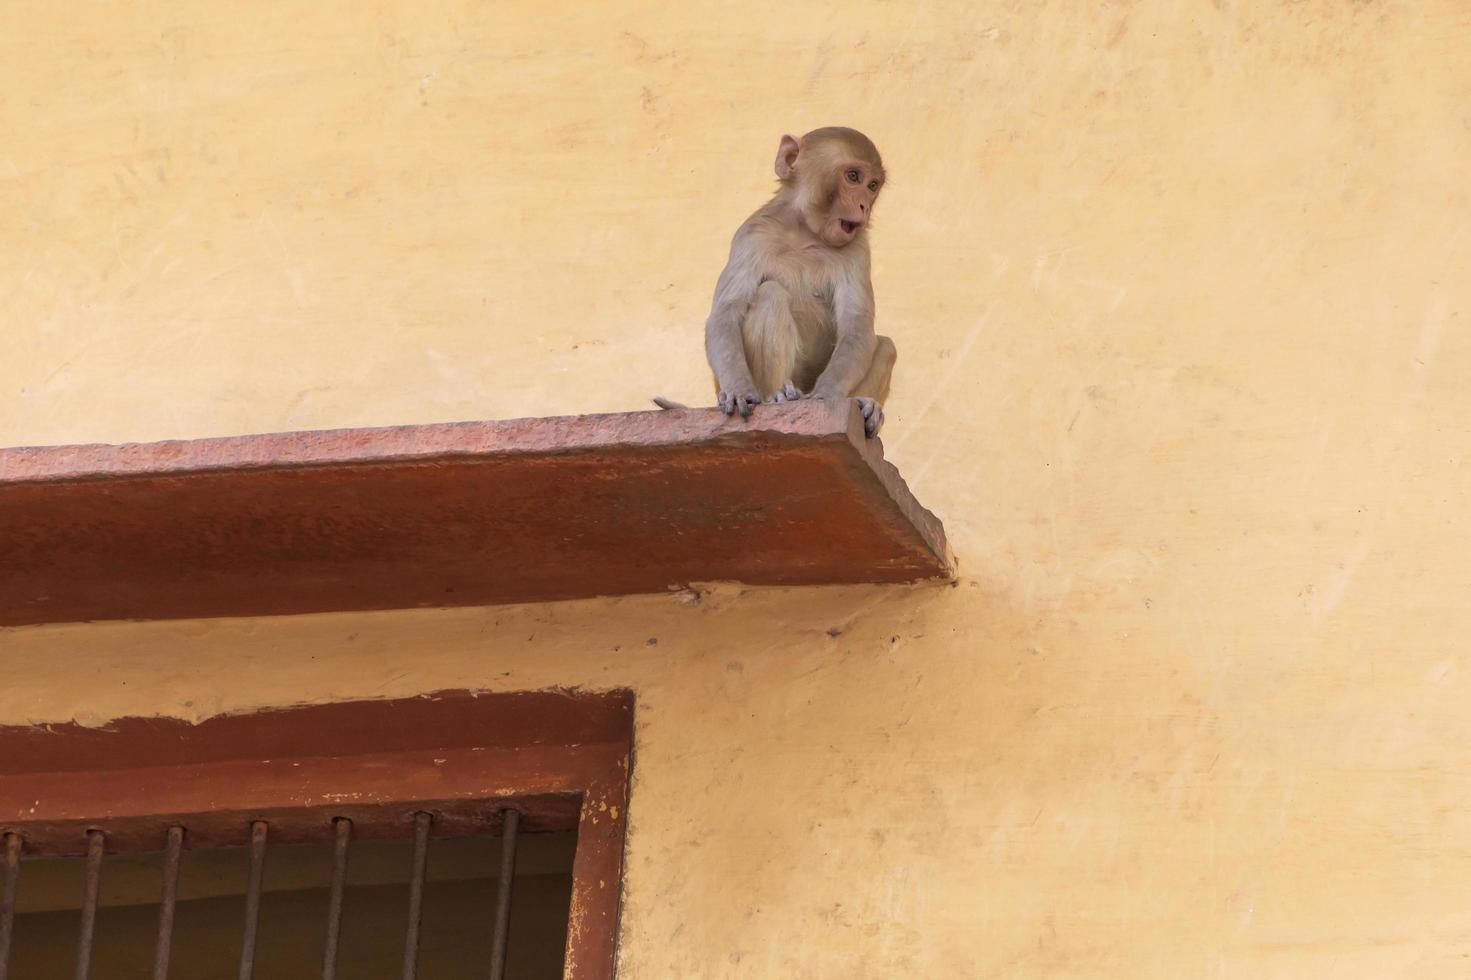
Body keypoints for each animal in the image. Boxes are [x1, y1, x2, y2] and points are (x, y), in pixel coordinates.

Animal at [656, 125, 894, 435]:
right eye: (853, 177)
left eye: (873, 185)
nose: (864, 205)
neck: (805, 233)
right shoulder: (752, 234)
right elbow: (725, 313)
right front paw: (738, 389)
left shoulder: (858, 248)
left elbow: (857, 326)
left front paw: (827, 395)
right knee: (770, 294)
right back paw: (777, 397)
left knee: (885, 345)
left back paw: (864, 403)